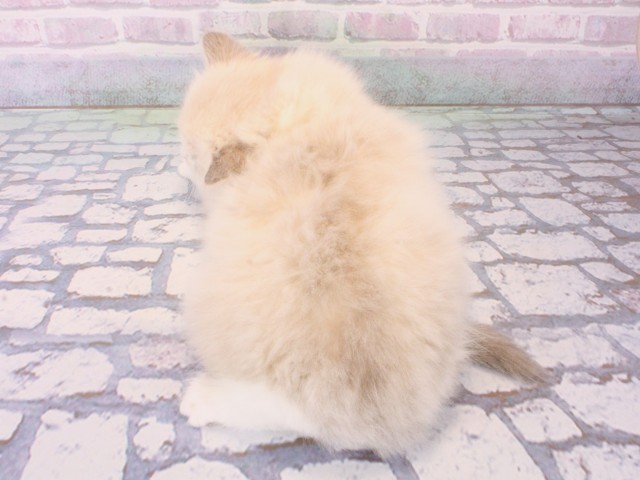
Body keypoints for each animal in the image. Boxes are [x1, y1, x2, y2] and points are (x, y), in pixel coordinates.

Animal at [177, 32, 546, 456]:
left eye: (189, 155)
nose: (177, 165)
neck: (298, 126)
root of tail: (383, 413)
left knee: (293, 412)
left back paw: (203, 400)